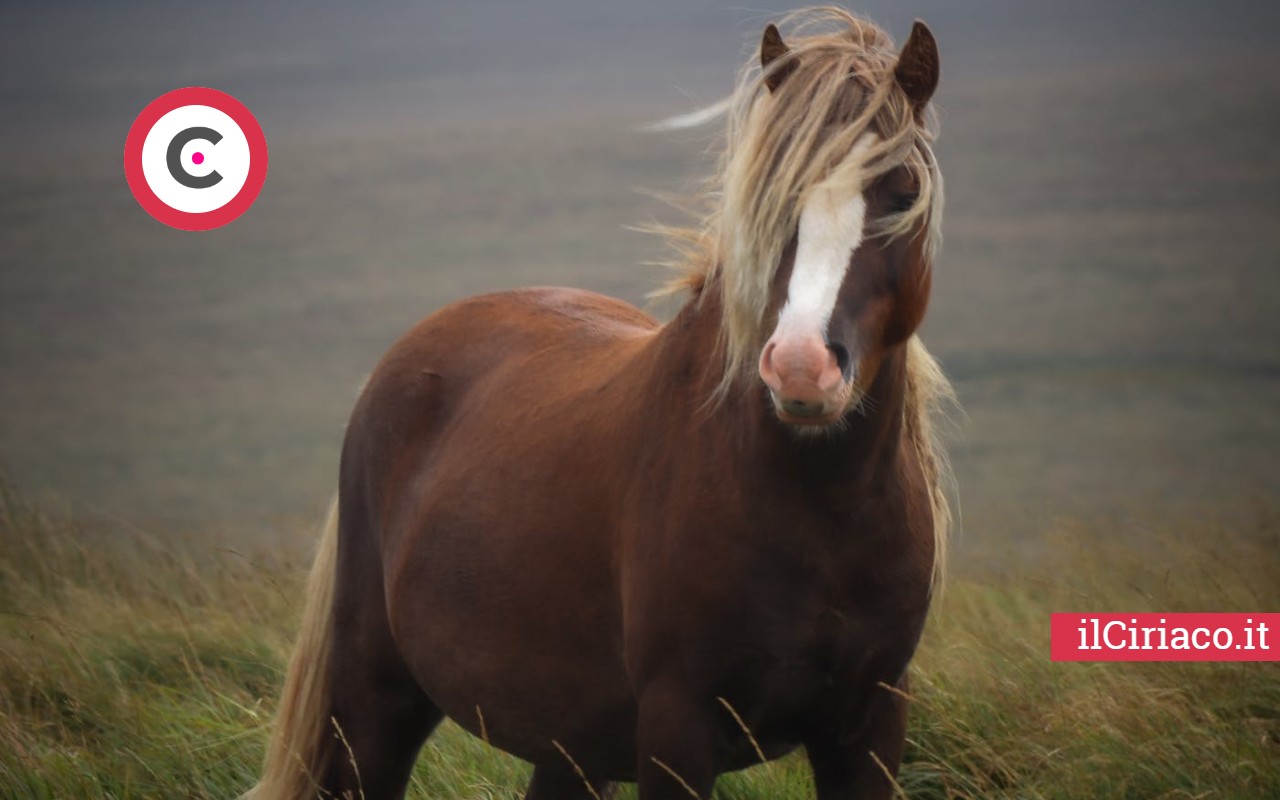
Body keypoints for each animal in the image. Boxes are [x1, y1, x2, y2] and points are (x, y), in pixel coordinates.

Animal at [249, 7, 957, 798]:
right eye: (770, 197)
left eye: (902, 192)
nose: (802, 367)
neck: (819, 511)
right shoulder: (677, 727)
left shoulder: (869, 724)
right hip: (375, 702)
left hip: (568, 744)